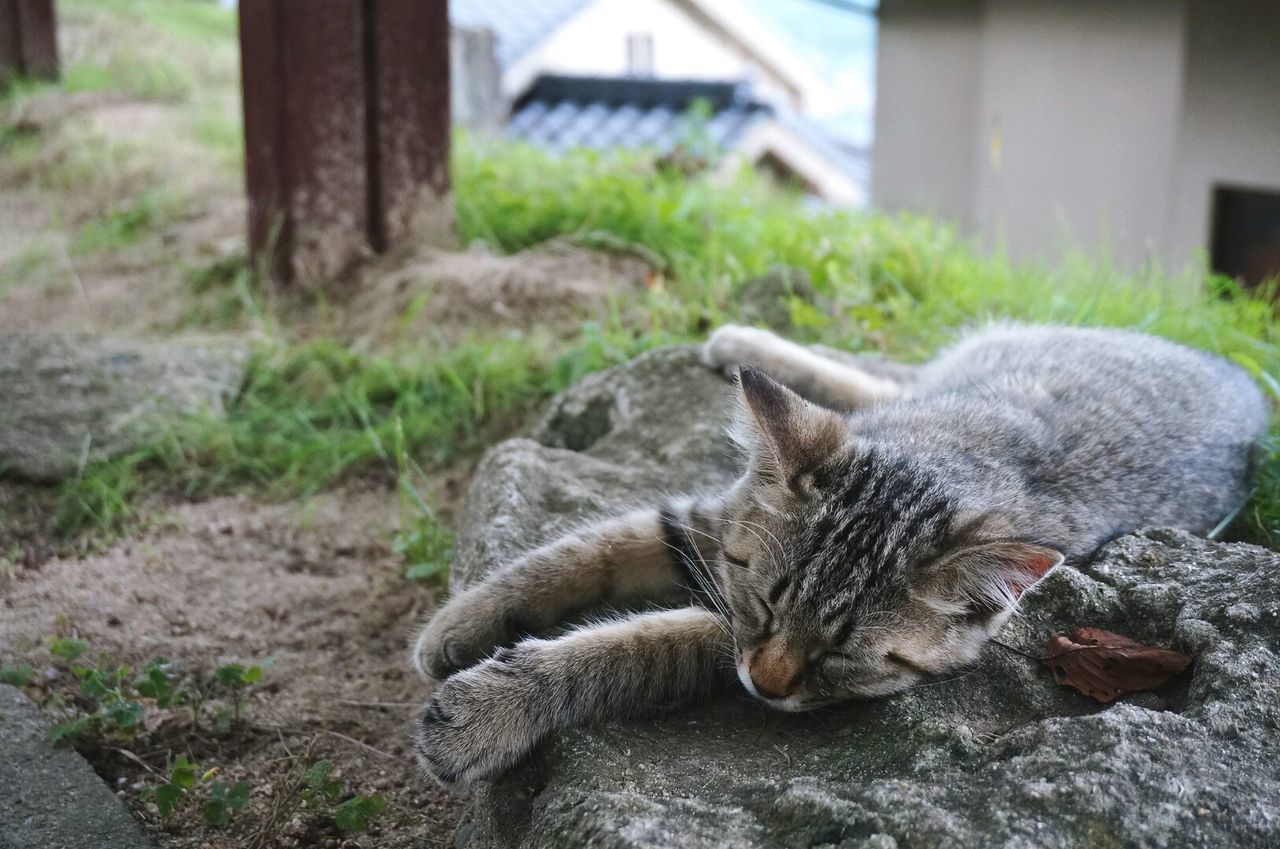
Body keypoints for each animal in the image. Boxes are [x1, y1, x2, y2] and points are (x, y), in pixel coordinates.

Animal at [412, 323, 1269, 783]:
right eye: (765, 602)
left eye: (845, 655)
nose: (767, 684)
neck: (936, 451)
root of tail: (1246, 382)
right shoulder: (705, 528)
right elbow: (575, 552)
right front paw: (460, 621)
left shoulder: (720, 625)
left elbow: (634, 641)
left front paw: (494, 704)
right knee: (878, 378)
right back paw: (745, 347)